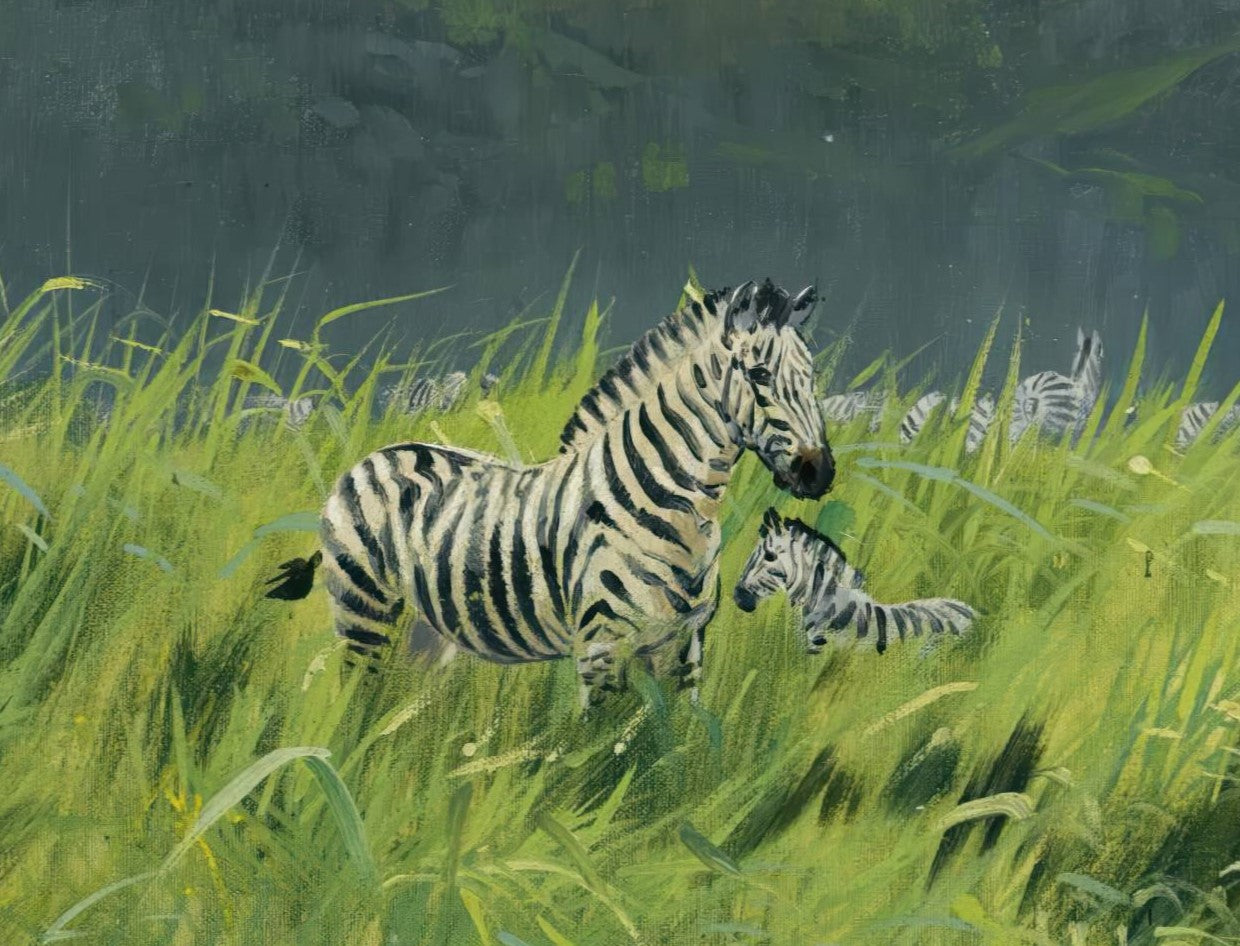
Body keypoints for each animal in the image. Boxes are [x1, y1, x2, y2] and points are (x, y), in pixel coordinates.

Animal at [265, 279, 835, 709]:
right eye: (759, 375)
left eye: (813, 378)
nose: (820, 473)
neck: (679, 509)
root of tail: (374, 456)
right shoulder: (600, 645)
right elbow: (599, 755)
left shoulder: (684, 644)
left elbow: (672, 748)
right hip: (364, 610)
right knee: (355, 703)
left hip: (426, 630)